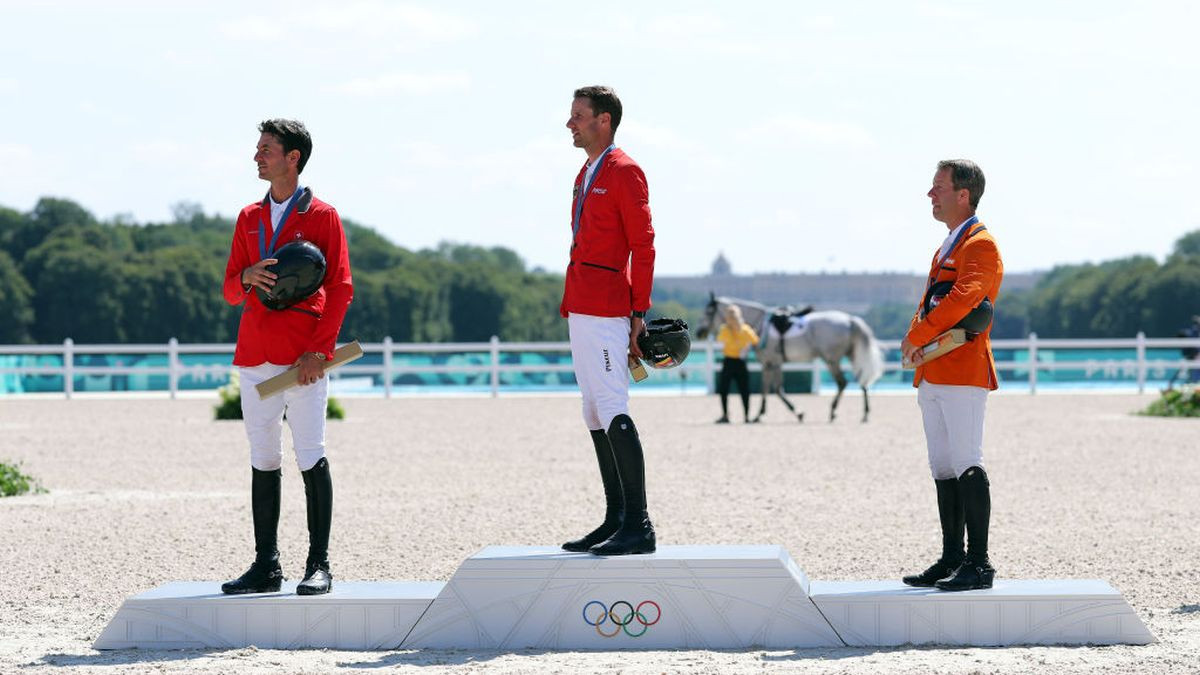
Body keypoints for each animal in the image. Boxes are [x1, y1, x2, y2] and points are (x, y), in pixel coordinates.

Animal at [700, 293, 888, 420]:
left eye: (708, 311)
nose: (698, 332)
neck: (760, 325)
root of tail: (850, 319)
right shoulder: (772, 363)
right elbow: (769, 388)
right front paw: (762, 413)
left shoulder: (771, 362)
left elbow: (773, 389)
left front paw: (793, 412)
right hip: (850, 356)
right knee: (862, 381)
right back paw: (865, 413)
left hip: (831, 359)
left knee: (842, 382)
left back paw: (833, 410)